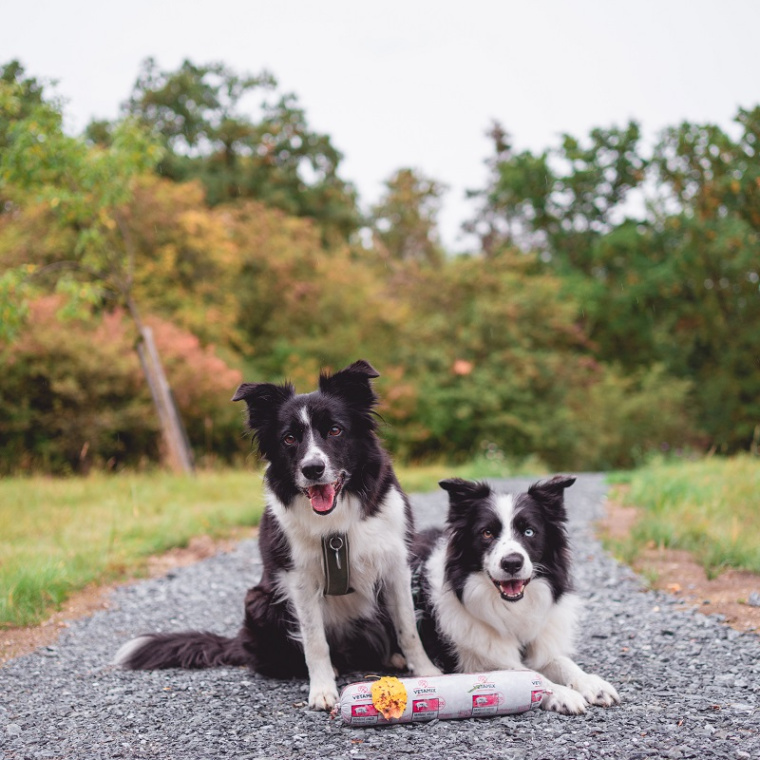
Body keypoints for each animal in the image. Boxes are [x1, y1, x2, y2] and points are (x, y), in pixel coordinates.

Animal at [116, 360, 442, 708]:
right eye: (289, 438)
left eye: (335, 430)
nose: (312, 469)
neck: (335, 525)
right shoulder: (299, 579)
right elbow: (314, 641)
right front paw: (322, 689)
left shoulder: (396, 565)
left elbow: (408, 628)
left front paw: (426, 671)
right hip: (260, 601)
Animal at [412, 476, 620, 712]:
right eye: (487, 533)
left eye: (529, 531)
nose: (512, 563)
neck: (510, 609)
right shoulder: (481, 660)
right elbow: (531, 676)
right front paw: (562, 693)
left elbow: (562, 661)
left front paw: (592, 684)